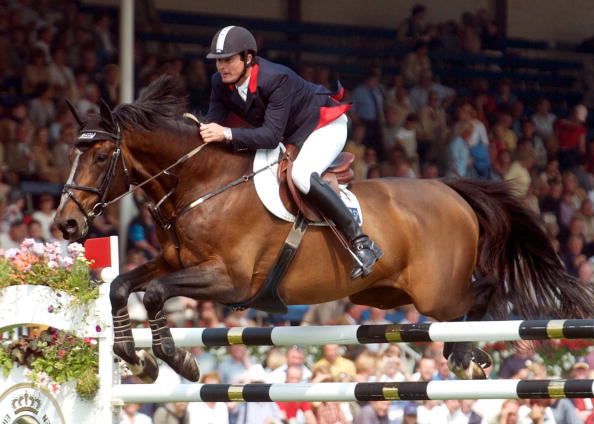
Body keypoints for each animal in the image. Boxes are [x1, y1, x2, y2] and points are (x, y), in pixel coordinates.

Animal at [54, 77, 592, 384]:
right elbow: (123, 286)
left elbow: (153, 294)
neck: (202, 184)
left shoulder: (229, 281)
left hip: (437, 291)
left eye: (101, 155)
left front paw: (175, 359)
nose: (66, 223)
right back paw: (463, 351)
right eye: (73, 152)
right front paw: (134, 357)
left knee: (484, 292)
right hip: (385, 295)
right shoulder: (173, 262)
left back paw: (465, 352)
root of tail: (450, 190)